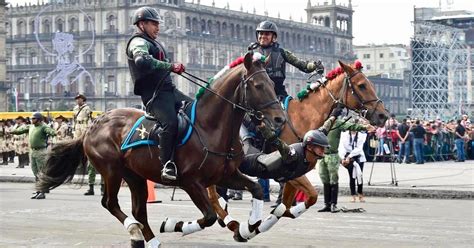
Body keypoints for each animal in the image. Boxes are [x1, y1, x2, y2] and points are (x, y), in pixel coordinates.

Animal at [36, 51, 286, 246]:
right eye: (258, 85)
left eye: (273, 84)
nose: (280, 119)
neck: (209, 127)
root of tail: (93, 125)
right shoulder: (191, 182)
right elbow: (208, 217)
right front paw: (173, 225)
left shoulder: (225, 175)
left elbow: (255, 188)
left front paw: (249, 227)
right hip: (111, 171)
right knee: (110, 203)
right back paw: (135, 232)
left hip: (135, 176)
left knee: (138, 210)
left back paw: (150, 240)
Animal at [209, 60, 390, 236]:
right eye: (361, 85)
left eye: (371, 84)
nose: (383, 115)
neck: (303, 117)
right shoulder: (289, 168)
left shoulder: (292, 173)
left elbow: (294, 202)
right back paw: (226, 217)